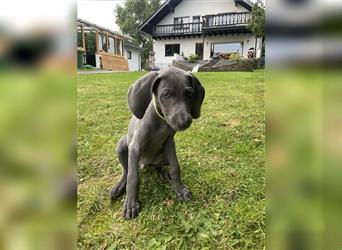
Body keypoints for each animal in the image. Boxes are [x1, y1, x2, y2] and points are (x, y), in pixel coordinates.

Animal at [111, 66, 204, 219]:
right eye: (166, 94)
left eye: (189, 94)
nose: (184, 122)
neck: (161, 122)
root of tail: (145, 164)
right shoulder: (135, 147)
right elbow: (133, 177)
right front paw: (130, 204)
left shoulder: (170, 143)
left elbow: (175, 167)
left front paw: (179, 189)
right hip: (122, 144)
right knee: (126, 170)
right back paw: (120, 185)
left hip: (162, 157)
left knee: (157, 166)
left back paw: (163, 172)